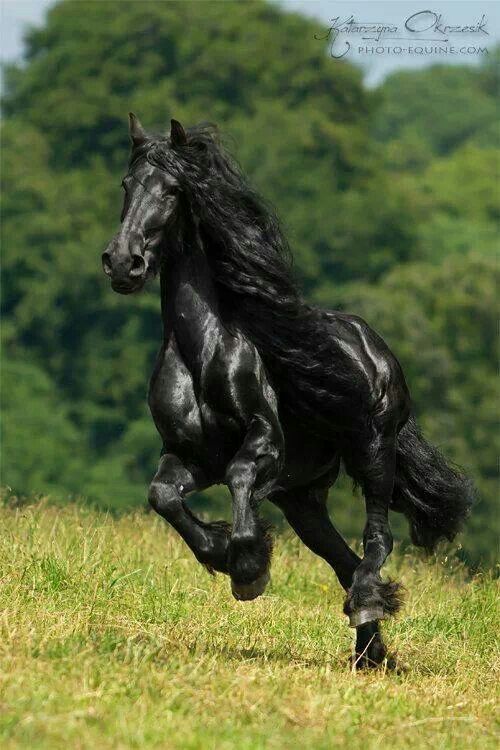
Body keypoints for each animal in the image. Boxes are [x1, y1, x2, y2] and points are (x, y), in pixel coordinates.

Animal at [101, 114, 473, 668]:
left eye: (172, 191)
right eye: (127, 185)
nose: (123, 263)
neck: (203, 348)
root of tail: (376, 350)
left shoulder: (264, 441)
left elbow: (239, 478)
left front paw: (249, 567)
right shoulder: (189, 455)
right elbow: (162, 496)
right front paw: (224, 556)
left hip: (373, 454)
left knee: (376, 541)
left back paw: (368, 609)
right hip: (303, 501)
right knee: (344, 561)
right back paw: (370, 651)